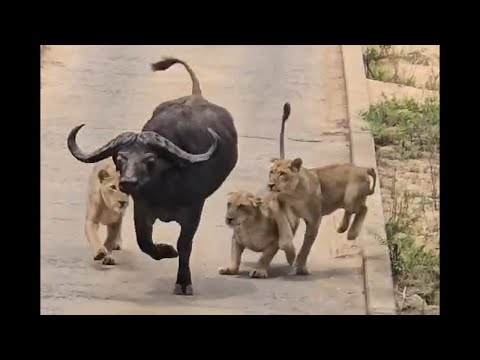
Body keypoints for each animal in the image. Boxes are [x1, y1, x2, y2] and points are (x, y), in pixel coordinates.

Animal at [66, 57, 239, 296]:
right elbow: (144, 241)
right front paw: (166, 250)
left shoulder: (194, 209)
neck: (164, 189)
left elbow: (184, 245)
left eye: (150, 159)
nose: (128, 182)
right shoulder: (141, 208)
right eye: (121, 158)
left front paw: (183, 281)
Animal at [218, 102, 300, 278]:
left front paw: (259, 270)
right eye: (229, 204)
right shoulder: (236, 240)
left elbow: (265, 257)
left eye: (242, 206)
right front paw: (230, 269)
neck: (249, 226)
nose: (229, 219)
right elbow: (235, 256)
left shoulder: (274, 242)